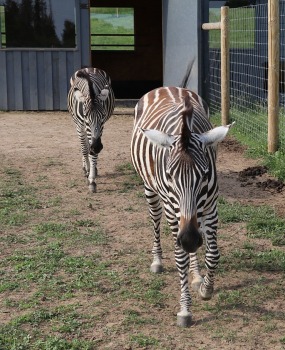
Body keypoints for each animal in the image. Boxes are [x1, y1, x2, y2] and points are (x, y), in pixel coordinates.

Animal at [130, 86, 233, 326]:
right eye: (169, 175)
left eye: (205, 174)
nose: (189, 239)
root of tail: (167, 87)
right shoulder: (173, 210)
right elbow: (180, 258)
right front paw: (185, 310)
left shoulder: (211, 206)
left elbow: (212, 254)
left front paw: (206, 288)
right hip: (151, 191)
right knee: (155, 220)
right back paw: (157, 260)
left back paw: (196, 275)